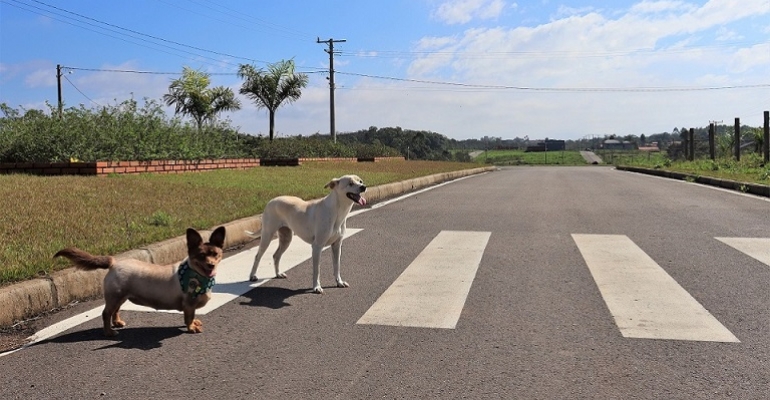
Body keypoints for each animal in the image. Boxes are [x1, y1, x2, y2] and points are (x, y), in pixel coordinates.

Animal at [54, 227, 225, 336]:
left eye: (215, 254)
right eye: (201, 256)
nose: (211, 265)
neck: (197, 274)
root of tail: (114, 262)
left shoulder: (191, 306)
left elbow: (192, 315)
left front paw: (195, 323)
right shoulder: (189, 304)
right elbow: (188, 317)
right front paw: (191, 327)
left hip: (121, 297)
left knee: (115, 311)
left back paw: (118, 323)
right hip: (115, 296)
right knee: (106, 313)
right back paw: (109, 332)